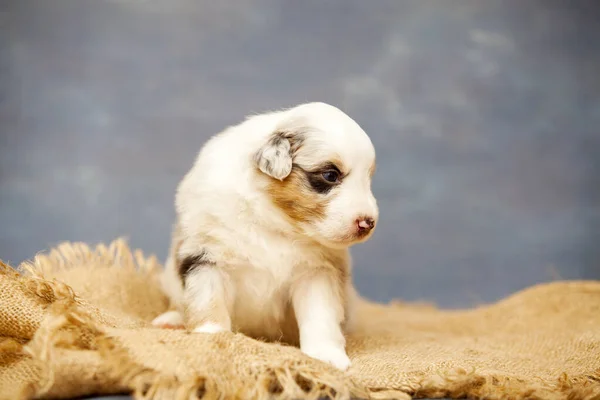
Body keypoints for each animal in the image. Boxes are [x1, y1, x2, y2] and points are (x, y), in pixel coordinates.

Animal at [152, 101, 378, 370]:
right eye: (330, 175)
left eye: (368, 178)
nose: (368, 222)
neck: (274, 222)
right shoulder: (206, 256)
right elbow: (208, 299)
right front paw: (212, 337)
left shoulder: (316, 271)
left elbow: (320, 315)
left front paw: (326, 356)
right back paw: (171, 320)